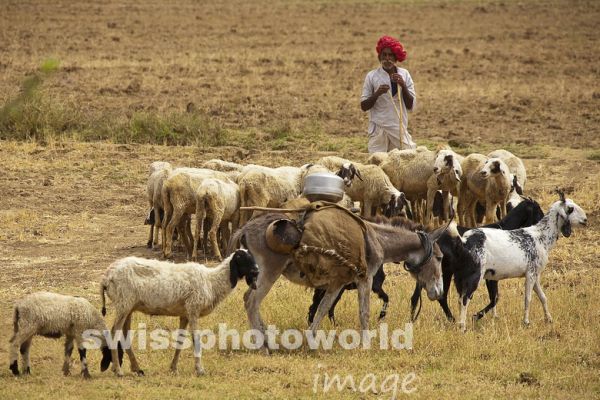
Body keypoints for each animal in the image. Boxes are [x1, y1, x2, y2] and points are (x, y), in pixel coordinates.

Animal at [100, 248, 258, 376]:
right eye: (241, 257)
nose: (256, 271)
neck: (212, 282)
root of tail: (106, 276)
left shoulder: (185, 314)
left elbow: (180, 340)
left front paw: (173, 368)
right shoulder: (193, 309)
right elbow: (196, 339)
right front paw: (200, 370)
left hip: (128, 307)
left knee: (124, 334)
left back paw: (135, 368)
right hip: (123, 304)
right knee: (114, 334)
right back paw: (118, 371)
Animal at [454, 192, 584, 330]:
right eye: (570, 208)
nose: (585, 220)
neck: (540, 237)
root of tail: (465, 240)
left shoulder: (534, 274)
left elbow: (542, 297)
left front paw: (548, 319)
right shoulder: (529, 274)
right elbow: (526, 298)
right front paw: (526, 321)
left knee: (460, 298)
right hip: (474, 276)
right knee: (464, 299)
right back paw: (463, 326)